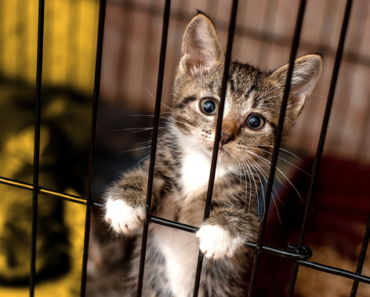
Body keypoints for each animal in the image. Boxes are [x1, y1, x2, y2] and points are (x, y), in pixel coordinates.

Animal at [102, 11, 322, 296]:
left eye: (255, 122)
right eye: (209, 106)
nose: (225, 136)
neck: (205, 165)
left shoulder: (250, 212)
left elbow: (247, 223)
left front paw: (220, 231)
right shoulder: (166, 187)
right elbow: (149, 179)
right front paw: (125, 204)